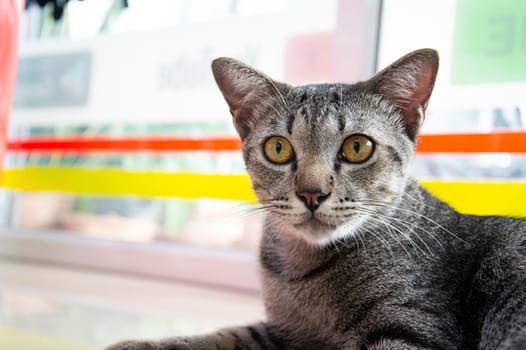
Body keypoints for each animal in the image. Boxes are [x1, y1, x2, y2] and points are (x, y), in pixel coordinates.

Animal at [107, 49, 526, 350]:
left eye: (358, 147)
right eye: (278, 148)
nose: (312, 192)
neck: (302, 271)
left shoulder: (413, 330)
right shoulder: (284, 332)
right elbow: (226, 336)